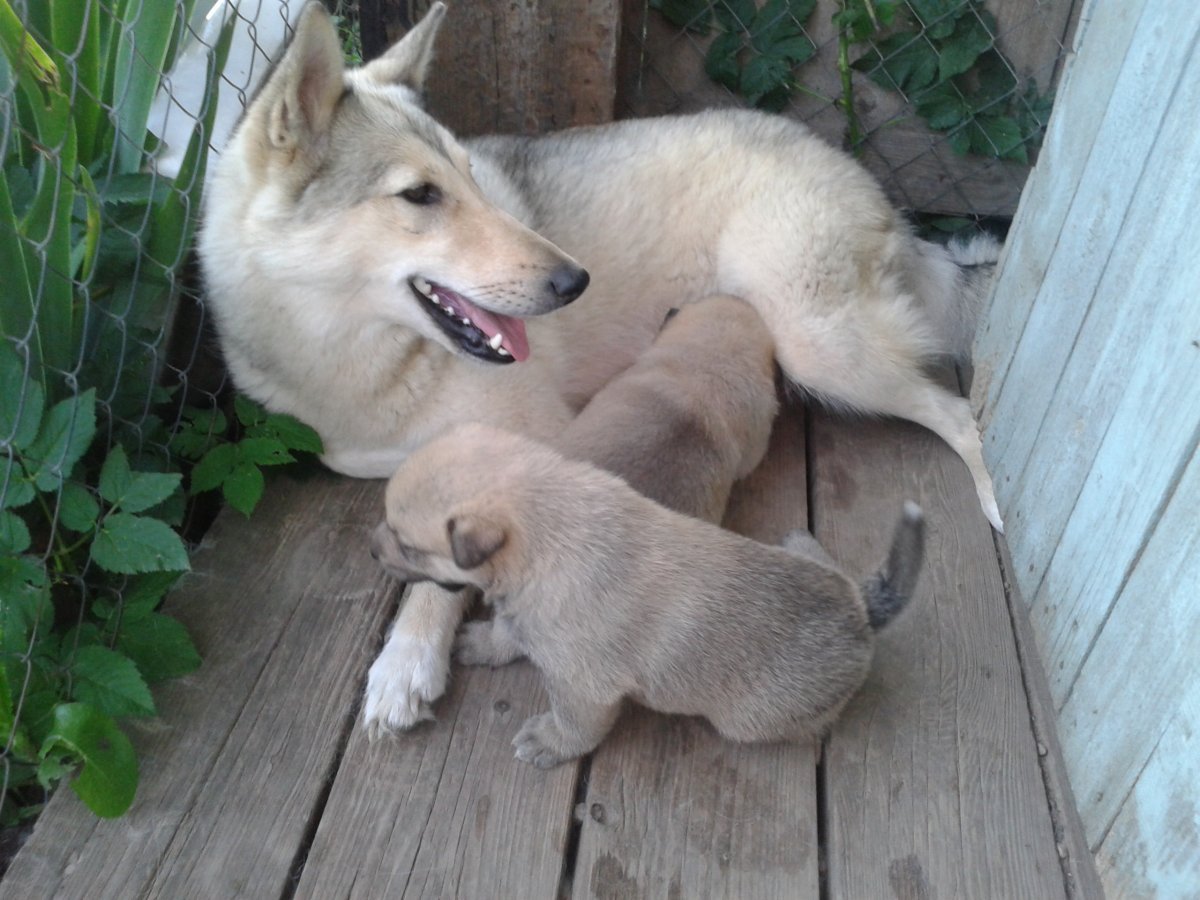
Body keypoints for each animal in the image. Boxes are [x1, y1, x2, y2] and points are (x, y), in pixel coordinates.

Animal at [369, 422, 921, 768]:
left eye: (409, 546)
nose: (373, 549)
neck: (548, 529)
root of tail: (861, 616)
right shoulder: (522, 611)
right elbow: (508, 631)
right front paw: (482, 642)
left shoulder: (583, 689)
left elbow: (574, 725)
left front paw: (549, 743)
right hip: (825, 573)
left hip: (750, 719)